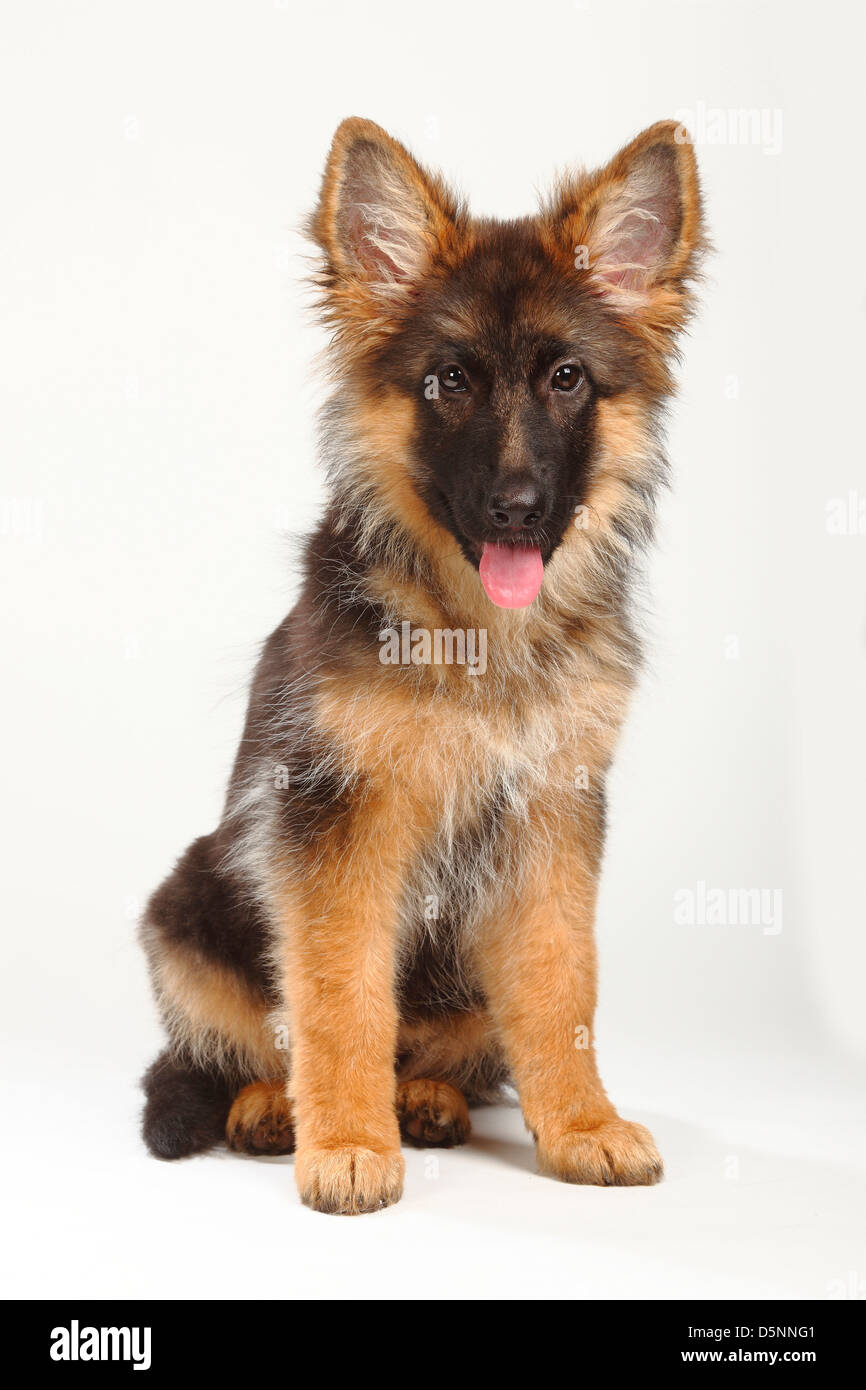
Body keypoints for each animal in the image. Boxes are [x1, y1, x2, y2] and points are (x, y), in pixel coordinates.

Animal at [136, 116, 706, 1217]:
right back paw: (275, 1110)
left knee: (448, 1047)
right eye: (448, 383)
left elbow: (561, 987)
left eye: (567, 380)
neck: (476, 632)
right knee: (246, 1041)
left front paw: (580, 1125)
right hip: (186, 912)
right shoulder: (337, 821)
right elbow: (337, 995)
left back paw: (430, 1100)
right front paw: (348, 1143)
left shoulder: (551, 820)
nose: (517, 510)